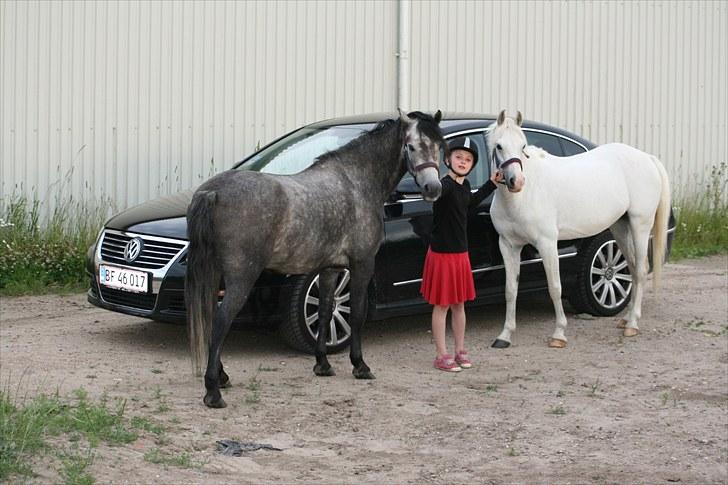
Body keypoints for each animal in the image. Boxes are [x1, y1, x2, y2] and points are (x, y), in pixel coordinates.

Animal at [186, 108, 444, 404]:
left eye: (439, 146)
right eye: (411, 146)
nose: (433, 188)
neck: (357, 182)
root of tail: (213, 192)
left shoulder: (330, 268)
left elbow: (324, 312)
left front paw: (322, 363)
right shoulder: (362, 265)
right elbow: (356, 315)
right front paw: (360, 365)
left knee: (210, 318)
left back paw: (221, 377)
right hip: (242, 278)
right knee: (220, 321)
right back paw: (213, 390)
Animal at [490, 108, 672, 348]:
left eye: (523, 146)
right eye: (499, 146)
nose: (516, 181)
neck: (524, 196)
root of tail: (647, 158)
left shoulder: (547, 243)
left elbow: (555, 287)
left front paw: (559, 334)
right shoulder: (508, 245)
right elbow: (510, 291)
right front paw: (504, 336)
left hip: (640, 225)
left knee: (641, 271)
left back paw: (632, 324)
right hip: (620, 228)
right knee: (632, 269)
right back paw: (626, 319)